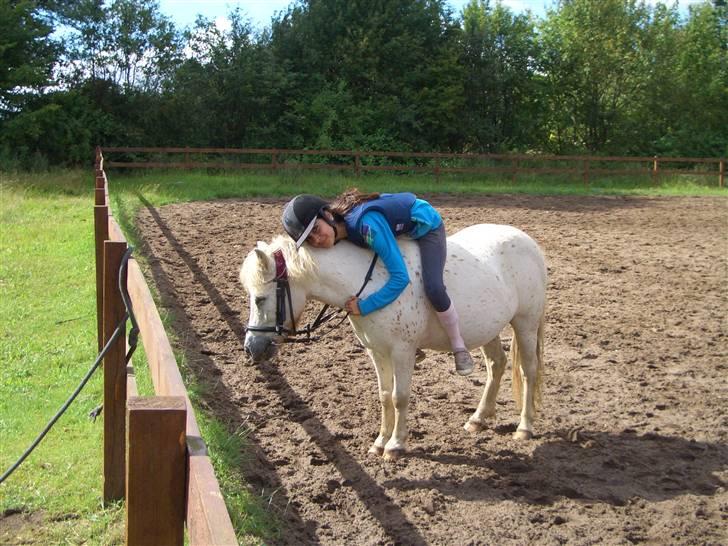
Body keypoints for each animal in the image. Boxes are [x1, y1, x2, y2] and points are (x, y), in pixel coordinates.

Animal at [240, 223, 544, 456]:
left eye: (260, 298)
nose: (251, 348)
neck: (371, 284)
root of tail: (527, 241)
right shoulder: (377, 352)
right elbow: (385, 396)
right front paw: (379, 442)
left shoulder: (402, 352)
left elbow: (400, 397)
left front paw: (396, 445)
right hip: (487, 328)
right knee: (497, 365)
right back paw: (478, 419)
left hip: (526, 323)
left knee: (528, 371)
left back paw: (524, 428)